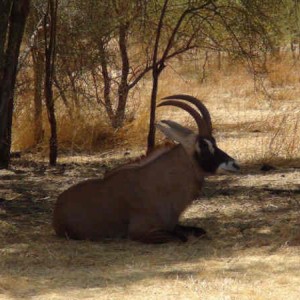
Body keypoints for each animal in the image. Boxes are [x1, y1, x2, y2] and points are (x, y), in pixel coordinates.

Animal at [52, 94, 239, 244]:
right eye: (203, 144)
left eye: (213, 141)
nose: (234, 164)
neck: (160, 186)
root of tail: (58, 206)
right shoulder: (140, 232)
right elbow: (181, 238)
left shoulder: (173, 224)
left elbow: (199, 231)